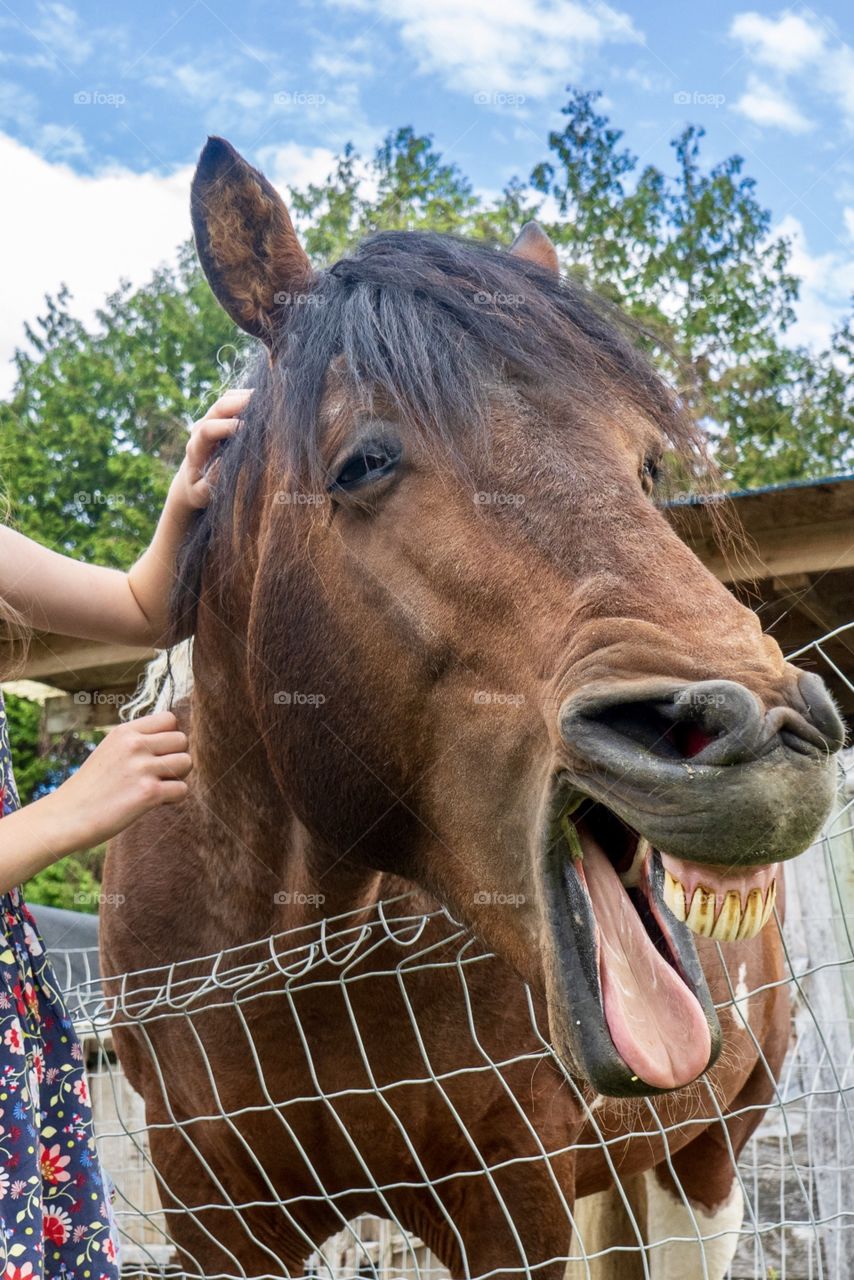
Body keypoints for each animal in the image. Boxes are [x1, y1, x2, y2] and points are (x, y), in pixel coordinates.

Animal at [100, 136, 844, 1280]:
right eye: (363, 461)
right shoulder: (211, 1213)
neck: (285, 953)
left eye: (646, 468)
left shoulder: (510, 1201)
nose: (764, 733)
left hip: (703, 1161)